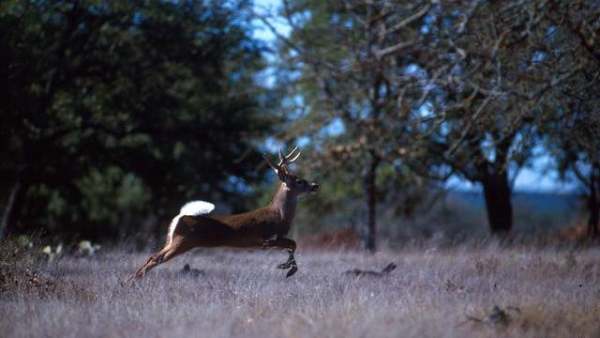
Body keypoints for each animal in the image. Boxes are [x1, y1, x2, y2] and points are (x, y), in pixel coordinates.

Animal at [127, 147, 318, 282]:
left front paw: (286, 267)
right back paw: (132, 282)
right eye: (299, 181)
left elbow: (292, 245)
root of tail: (181, 216)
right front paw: (288, 268)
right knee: (156, 258)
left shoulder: (272, 240)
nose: (315, 185)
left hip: (172, 240)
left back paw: (128, 281)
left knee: (152, 256)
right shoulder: (267, 239)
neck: (280, 215)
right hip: (182, 242)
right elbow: (293, 244)